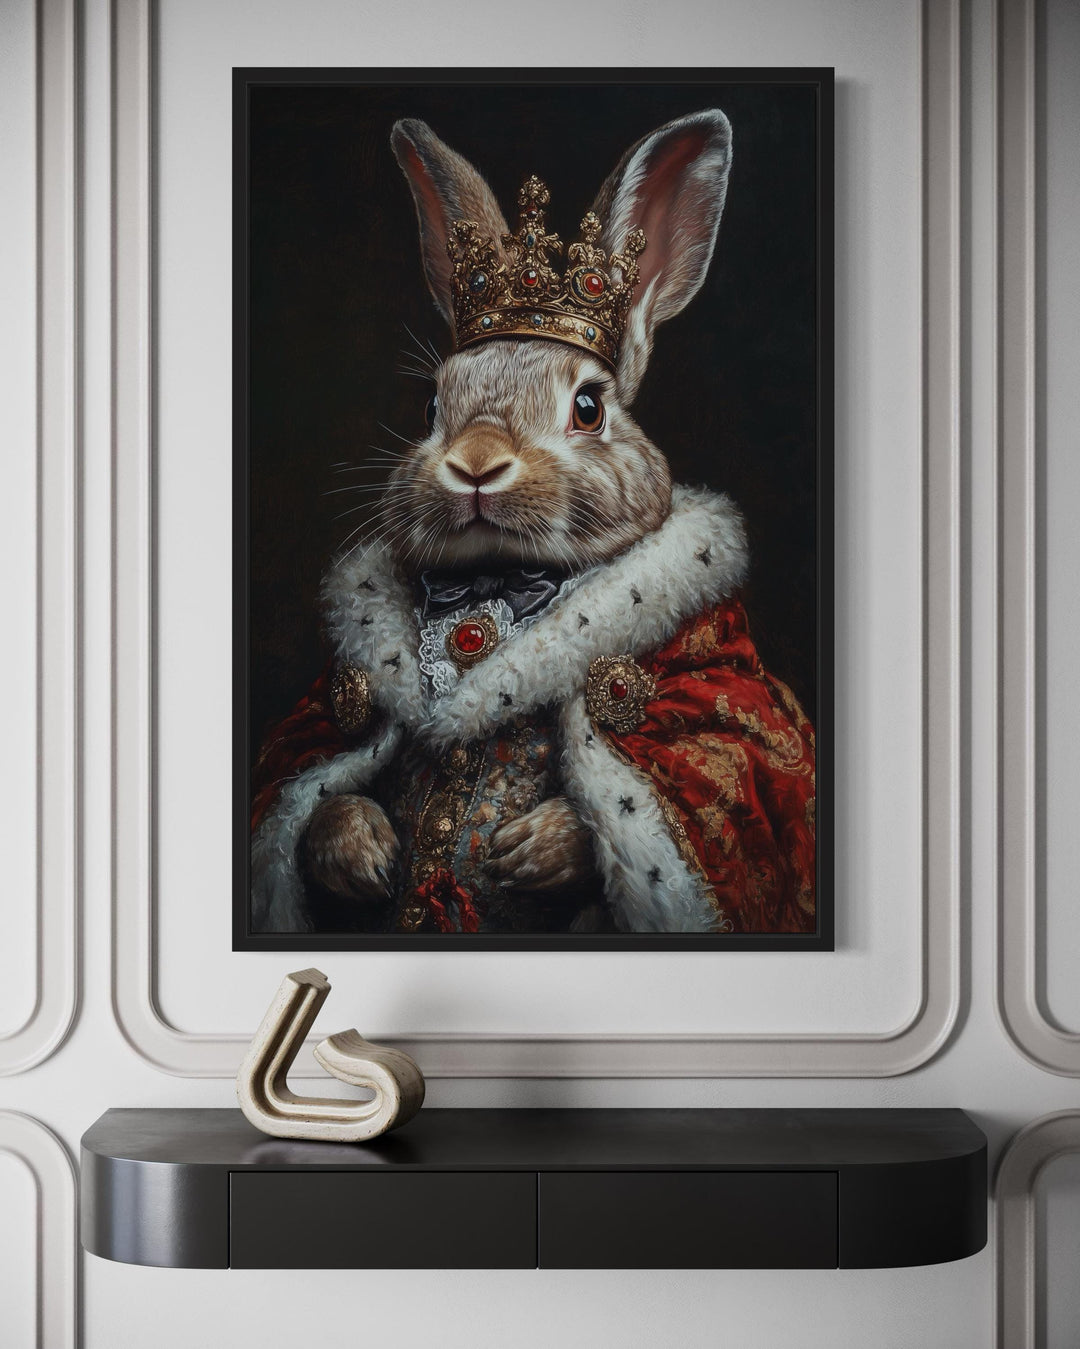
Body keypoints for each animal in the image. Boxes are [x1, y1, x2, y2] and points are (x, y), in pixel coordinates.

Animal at [250, 109, 817, 937]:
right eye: (432, 404)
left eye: (587, 407)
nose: (476, 463)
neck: (494, 584)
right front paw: (360, 850)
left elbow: (723, 758)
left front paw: (536, 849)